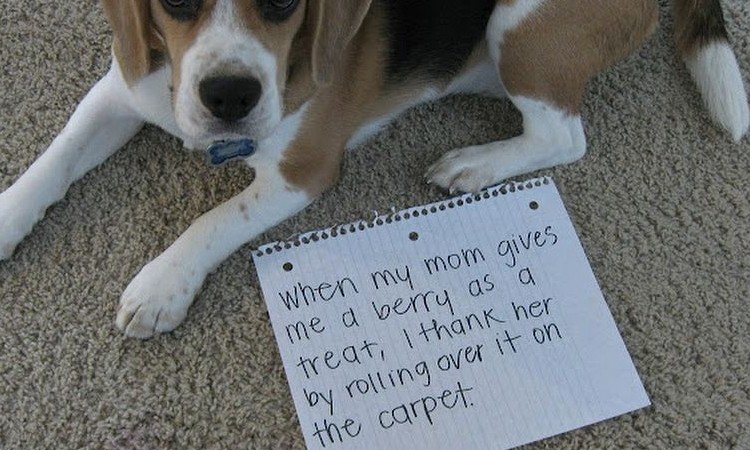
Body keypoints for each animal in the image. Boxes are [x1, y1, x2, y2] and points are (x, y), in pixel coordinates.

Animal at [1, 0, 747, 339]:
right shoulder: (121, 89)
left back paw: (475, 164)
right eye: (178, 3)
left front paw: (161, 285)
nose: (230, 96)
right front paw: (6, 217)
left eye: (282, 4)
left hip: (524, 29)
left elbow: (212, 220)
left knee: (562, 134)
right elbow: (54, 158)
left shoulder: (301, 171)